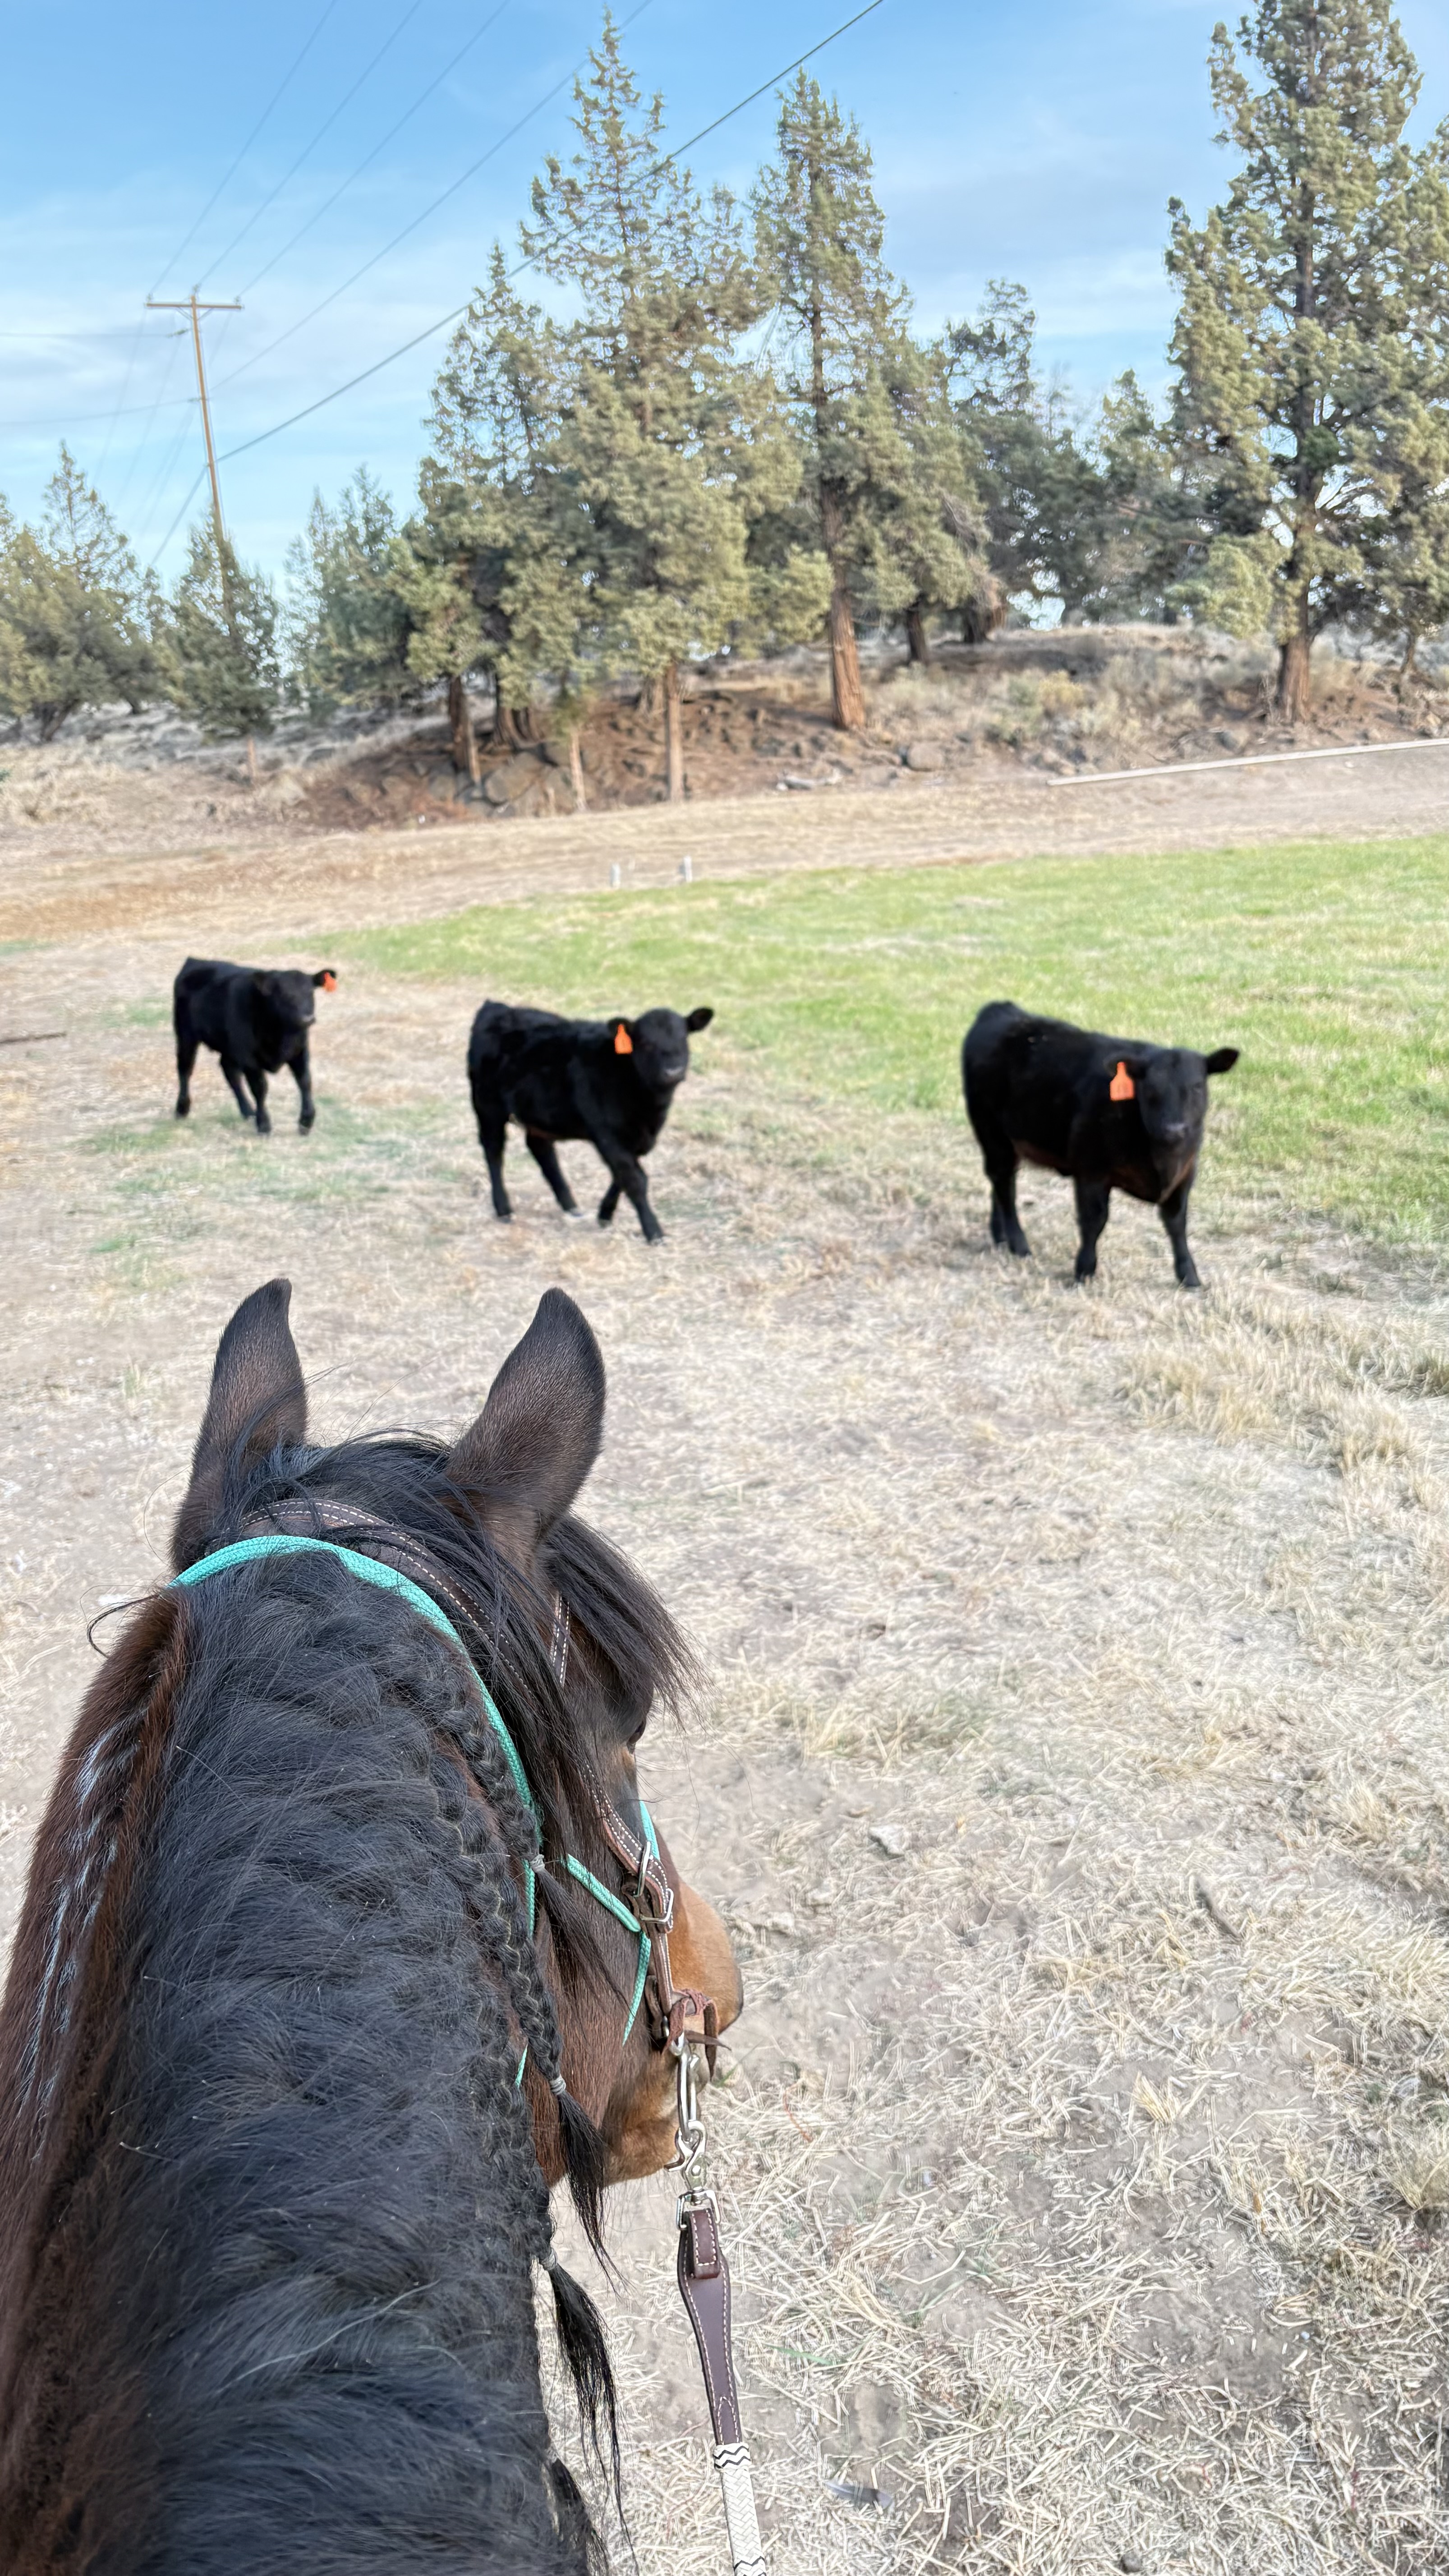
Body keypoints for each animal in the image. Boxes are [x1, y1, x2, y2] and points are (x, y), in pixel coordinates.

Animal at [173, 958, 338, 1136]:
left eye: (310, 992)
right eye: (284, 994)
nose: (307, 1019)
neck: (281, 1035)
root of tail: (195, 961)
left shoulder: (299, 1051)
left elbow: (305, 1081)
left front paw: (306, 1122)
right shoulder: (249, 1057)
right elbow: (260, 1087)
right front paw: (264, 1125)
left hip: (229, 1047)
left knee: (229, 1071)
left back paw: (248, 1111)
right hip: (186, 1035)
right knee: (185, 1069)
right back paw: (182, 1109)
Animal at [467, 1000, 714, 1244]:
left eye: (683, 1038)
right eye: (645, 1043)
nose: (673, 1071)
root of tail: (497, 1007)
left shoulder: (637, 1138)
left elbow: (623, 1176)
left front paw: (605, 1214)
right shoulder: (607, 1134)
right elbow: (634, 1179)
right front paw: (654, 1232)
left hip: (537, 1112)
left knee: (540, 1149)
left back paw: (570, 1205)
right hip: (487, 1105)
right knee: (494, 1153)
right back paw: (504, 1210)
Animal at [963, 1000, 1239, 1288]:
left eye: (1197, 1086)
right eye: (1150, 1089)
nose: (1173, 1130)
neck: (1162, 1159)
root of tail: (1003, 1009)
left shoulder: (1185, 1174)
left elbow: (1177, 1223)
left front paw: (1189, 1275)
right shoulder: (1091, 1170)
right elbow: (1094, 1220)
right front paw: (1084, 1271)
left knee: (1000, 1183)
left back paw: (1000, 1237)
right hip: (991, 1132)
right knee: (1005, 1186)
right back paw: (1019, 1245)